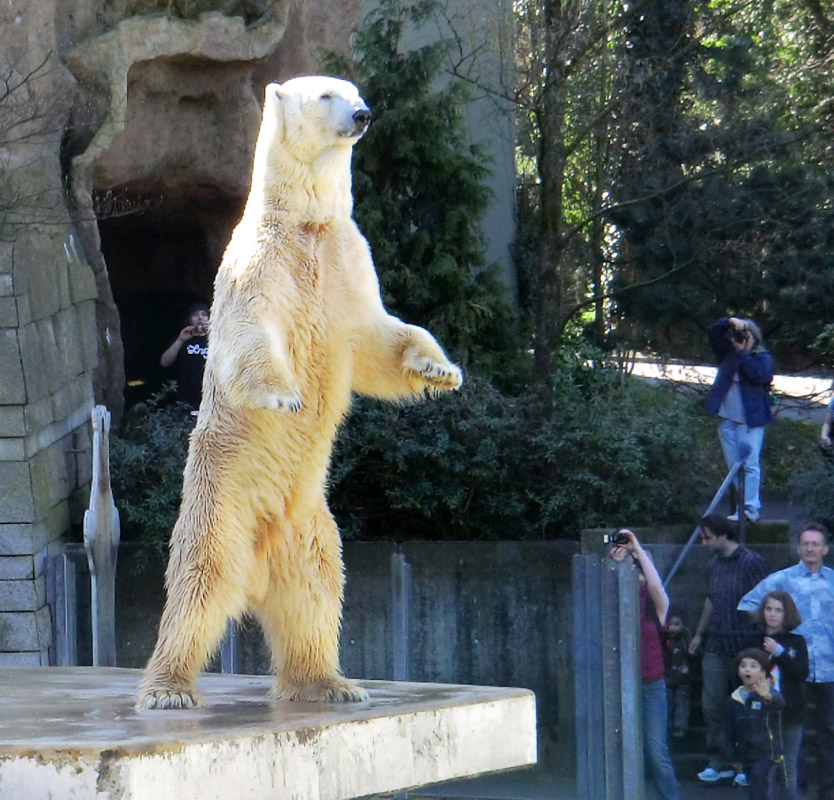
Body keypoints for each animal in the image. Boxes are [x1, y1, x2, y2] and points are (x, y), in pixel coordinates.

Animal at [138, 76, 462, 712]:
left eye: (355, 92)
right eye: (326, 95)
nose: (363, 114)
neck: (306, 223)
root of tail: (259, 563)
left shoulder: (347, 260)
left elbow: (377, 338)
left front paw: (440, 370)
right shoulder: (259, 263)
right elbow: (247, 334)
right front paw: (285, 397)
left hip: (310, 524)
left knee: (316, 593)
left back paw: (330, 683)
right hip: (222, 504)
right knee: (200, 585)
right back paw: (168, 689)